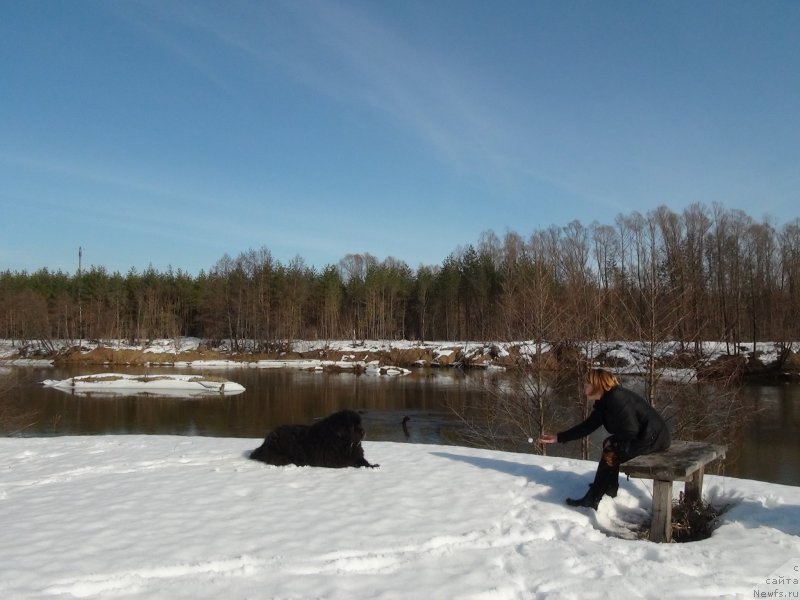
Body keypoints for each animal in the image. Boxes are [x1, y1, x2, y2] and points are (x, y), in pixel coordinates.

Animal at [250, 412, 378, 468]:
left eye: (359, 424)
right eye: (351, 427)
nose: (363, 431)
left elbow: (362, 460)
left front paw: (372, 465)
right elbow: (351, 462)